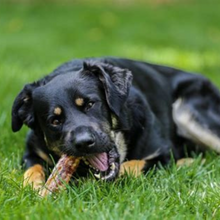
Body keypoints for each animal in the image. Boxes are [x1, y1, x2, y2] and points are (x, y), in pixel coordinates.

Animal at [11, 56, 220, 189]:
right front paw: (33, 188)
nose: (83, 142)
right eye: (55, 120)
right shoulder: (31, 152)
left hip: (188, 112)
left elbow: (131, 166)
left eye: (90, 104)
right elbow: (32, 169)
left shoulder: (162, 153)